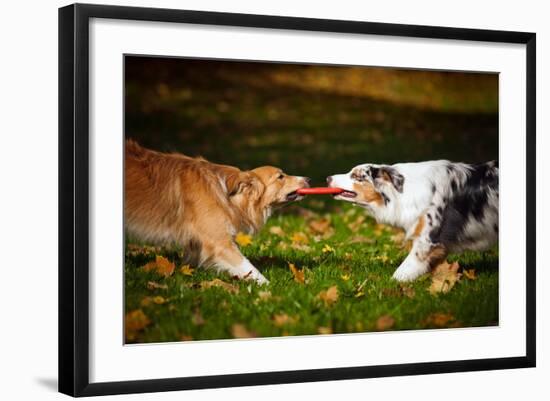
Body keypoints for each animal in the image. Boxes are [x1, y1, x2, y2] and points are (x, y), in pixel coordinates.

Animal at [126, 139, 312, 282]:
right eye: (280, 176)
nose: (309, 179)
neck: (228, 194)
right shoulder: (219, 242)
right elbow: (248, 267)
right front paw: (269, 287)